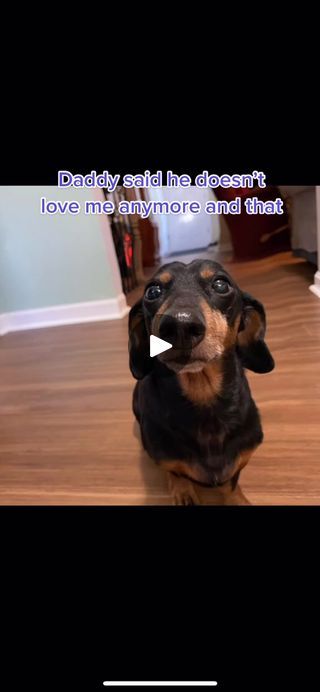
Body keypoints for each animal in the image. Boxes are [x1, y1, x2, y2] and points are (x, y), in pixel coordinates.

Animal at [129, 258, 274, 502]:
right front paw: (183, 493)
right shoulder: (166, 458)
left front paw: (237, 499)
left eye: (221, 285)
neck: (203, 394)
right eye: (152, 291)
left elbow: (232, 484)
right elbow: (176, 472)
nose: (180, 326)